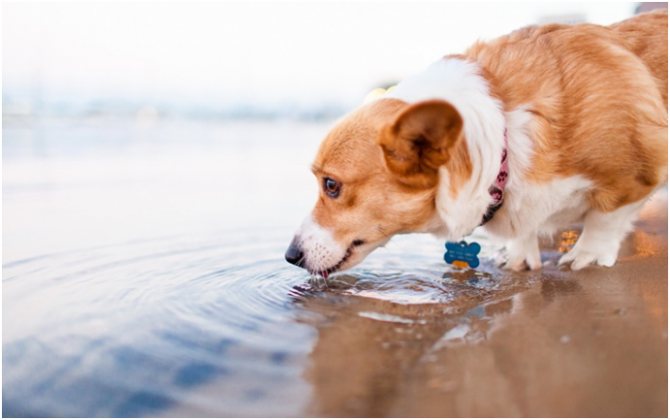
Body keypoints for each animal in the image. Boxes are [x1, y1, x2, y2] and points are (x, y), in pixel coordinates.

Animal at [284, 9, 668, 276]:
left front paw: (585, 256)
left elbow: (605, 219)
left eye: (331, 185)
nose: (290, 256)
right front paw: (517, 256)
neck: (504, 137)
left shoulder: (633, 175)